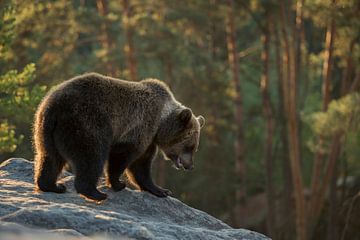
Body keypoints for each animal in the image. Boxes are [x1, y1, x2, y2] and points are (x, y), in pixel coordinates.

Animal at [33, 72, 205, 202]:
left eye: (194, 148)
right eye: (190, 146)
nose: (190, 165)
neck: (160, 123)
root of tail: (54, 106)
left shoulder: (149, 140)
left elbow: (141, 164)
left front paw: (160, 190)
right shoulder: (141, 127)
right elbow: (124, 158)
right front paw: (118, 183)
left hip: (46, 129)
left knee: (50, 157)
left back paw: (53, 186)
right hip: (85, 122)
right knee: (91, 157)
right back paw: (95, 193)